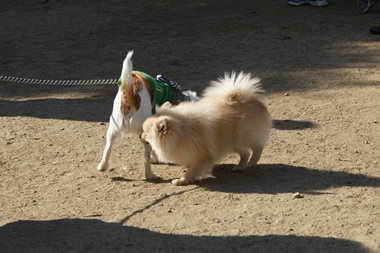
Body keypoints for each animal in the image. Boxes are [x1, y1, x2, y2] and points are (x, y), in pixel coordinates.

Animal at [98, 50, 197, 179]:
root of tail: (130, 92)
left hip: (113, 127)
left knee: (107, 149)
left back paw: (102, 166)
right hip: (144, 133)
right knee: (145, 158)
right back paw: (150, 175)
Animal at [141, 72, 272, 185]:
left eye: (146, 134)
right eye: (143, 132)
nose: (140, 136)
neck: (181, 132)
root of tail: (249, 99)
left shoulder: (202, 156)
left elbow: (192, 170)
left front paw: (182, 180)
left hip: (243, 136)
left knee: (258, 147)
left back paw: (251, 162)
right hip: (233, 141)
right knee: (245, 153)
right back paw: (240, 167)